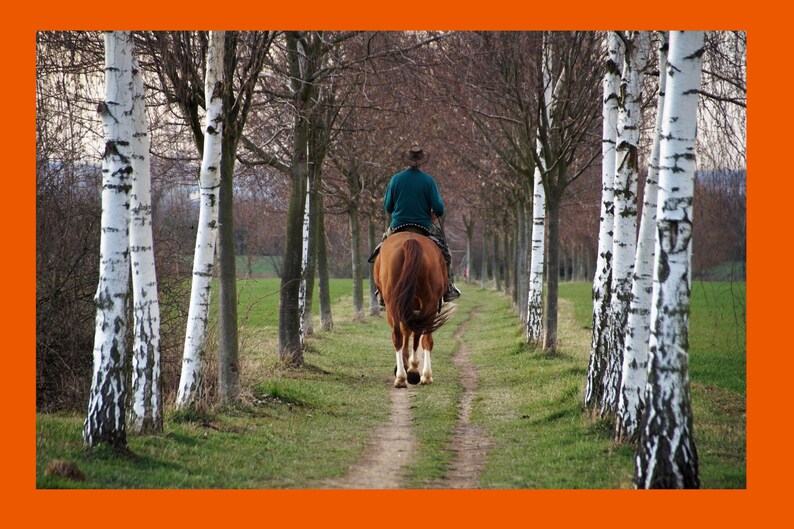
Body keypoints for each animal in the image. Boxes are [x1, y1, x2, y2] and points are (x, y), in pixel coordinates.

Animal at [373, 230, 455, 388]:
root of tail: (410, 241)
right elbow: (411, 332)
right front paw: (410, 366)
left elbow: (407, 331)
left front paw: (407, 365)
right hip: (428, 303)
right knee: (424, 336)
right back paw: (422, 375)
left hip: (393, 304)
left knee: (398, 335)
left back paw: (403, 376)